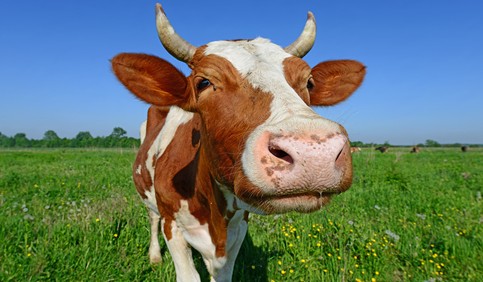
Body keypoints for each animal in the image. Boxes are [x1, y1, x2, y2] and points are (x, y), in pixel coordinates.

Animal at [110, 3, 366, 280]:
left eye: (309, 82)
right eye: (204, 82)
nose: (314, 151)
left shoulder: (238, 228)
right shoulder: (173, 224)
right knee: (152, 217)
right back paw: (155, 256)